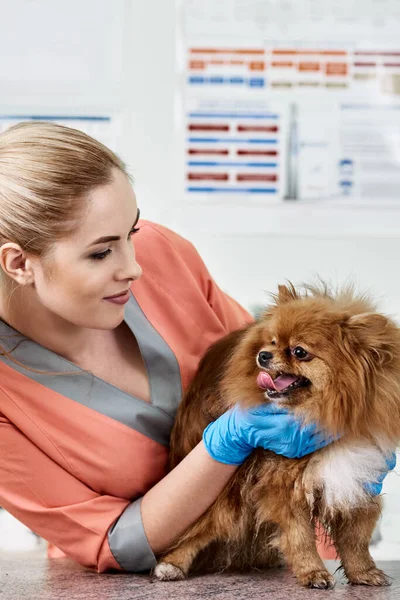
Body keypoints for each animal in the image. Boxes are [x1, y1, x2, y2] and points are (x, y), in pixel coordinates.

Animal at [154, 284, 400, 588]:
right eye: (271, 342)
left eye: (299, 351)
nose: (263, 355)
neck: (323, 415)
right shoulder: (283, 484)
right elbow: (300, 536)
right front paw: (312, 572)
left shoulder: (358, 479)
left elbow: (355, 540)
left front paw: (364, 572)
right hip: (226, 494)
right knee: (197, 530)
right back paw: (171, 564)